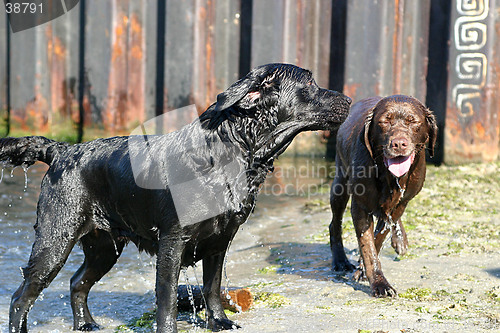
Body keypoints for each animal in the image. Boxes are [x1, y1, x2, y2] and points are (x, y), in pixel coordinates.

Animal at [0, 63, 352, 332]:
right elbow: (167, 298)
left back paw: (86, 324)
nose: (350, 98)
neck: (229, 153)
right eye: (311, 83)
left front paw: (219, 322)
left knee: (76, 282)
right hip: (55, 240)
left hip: (104, 247)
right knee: (21, 297)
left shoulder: (220, 240)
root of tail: (62, 149)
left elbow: (212, 287)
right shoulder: (173, 241)